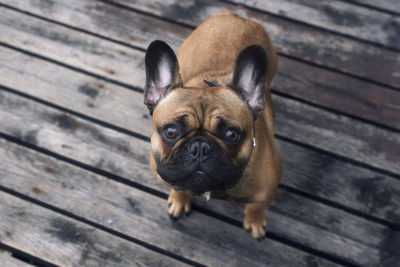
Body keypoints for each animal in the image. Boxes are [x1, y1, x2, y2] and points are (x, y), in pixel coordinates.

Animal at [143, 11, 282, 240]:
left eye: (231, 135)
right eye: (171, 132)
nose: (200, 147)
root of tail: (234, 16)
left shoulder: (266, 192)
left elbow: (256, 207)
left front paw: (255, 221)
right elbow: (179, 187)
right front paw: (179, 200)